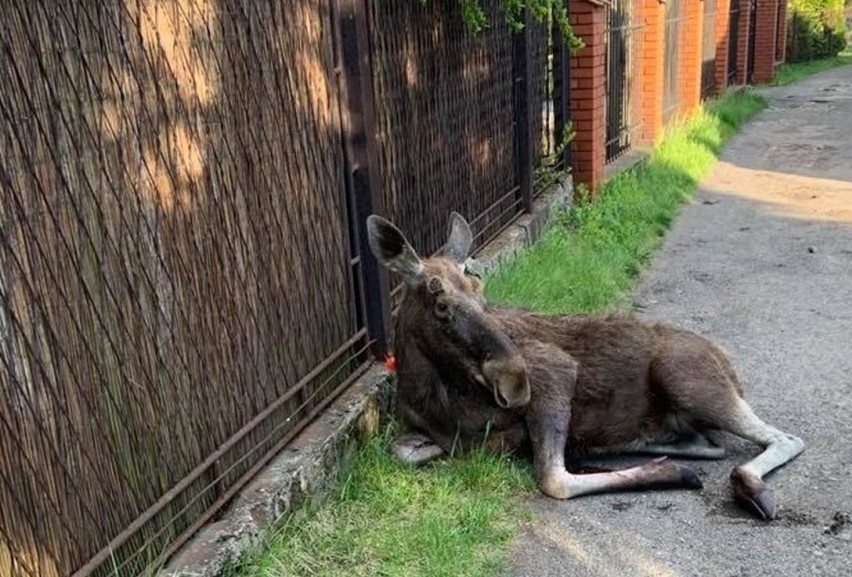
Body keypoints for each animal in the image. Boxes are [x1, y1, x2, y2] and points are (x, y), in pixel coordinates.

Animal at [366, 213, 804, 520]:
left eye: (482, 293)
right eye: (441, 305)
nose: (514, 382)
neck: (433, 394)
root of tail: (726, 363)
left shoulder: (554, 370)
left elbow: (554, 480)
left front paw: (671, 475)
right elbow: (403, 451)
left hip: (686, 378)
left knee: (785, 438)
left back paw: (748, 487)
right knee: (710, 445)